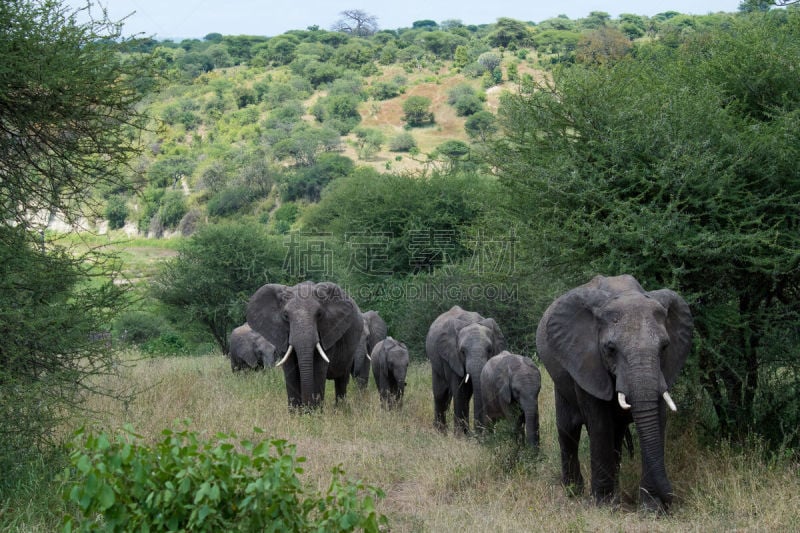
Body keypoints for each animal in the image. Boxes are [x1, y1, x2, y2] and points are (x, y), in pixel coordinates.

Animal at [247, 280, 366, 410]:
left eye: (319, 314)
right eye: (286, 316)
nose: (306, 408)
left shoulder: (329, 330)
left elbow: (318, 370)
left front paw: (314, 413)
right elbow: (290, 371)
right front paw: (296, 413)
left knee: (341, 379)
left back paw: (341, 409)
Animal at [424, 306, 506, 434]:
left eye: (489, 350)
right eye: (462, 351)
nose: (478, 433)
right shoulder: (452, 356)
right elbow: (459, 391)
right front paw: (461, 436)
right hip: (436, 362)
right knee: (440, 393)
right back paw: (440, 432)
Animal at [536, 274, 692, 512]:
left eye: (665, 347)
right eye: (610, 349)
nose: (671, 499)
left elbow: (658, 419)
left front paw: (652, 509)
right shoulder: (586, 361)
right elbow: (599, 424)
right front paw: (605, 506)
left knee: (616, 433)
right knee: (568, 429)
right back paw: (573, 491)